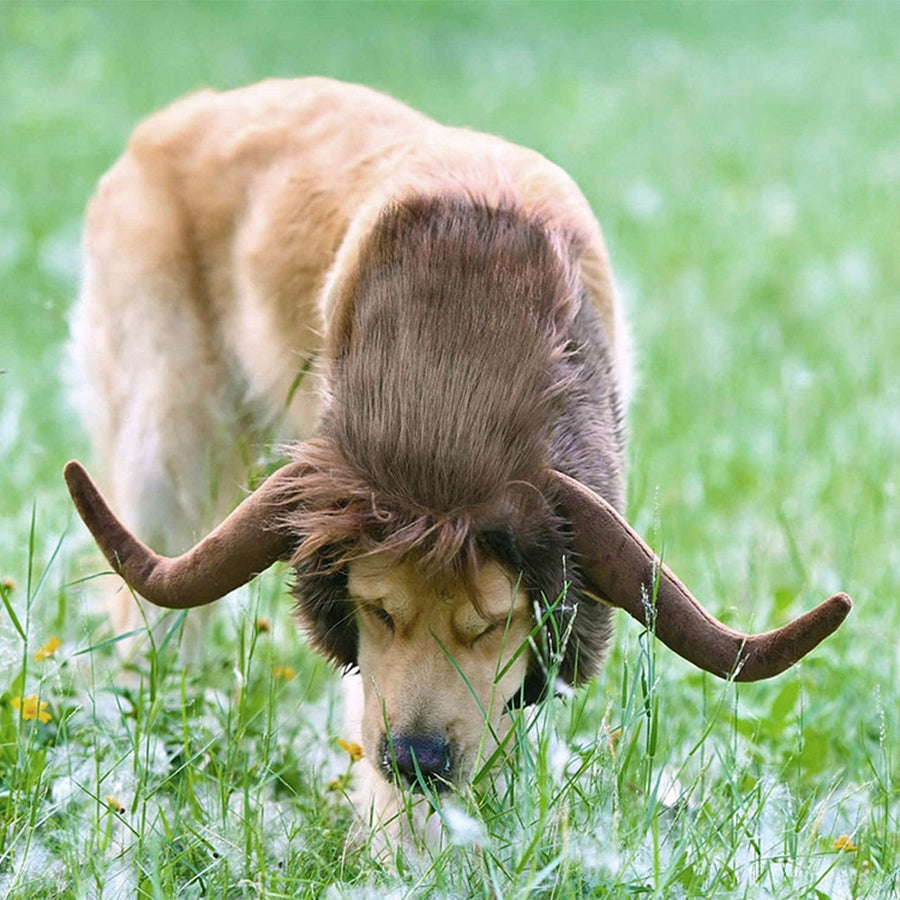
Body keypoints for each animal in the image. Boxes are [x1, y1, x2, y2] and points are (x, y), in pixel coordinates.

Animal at [63, 79, 852, 852]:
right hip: (167, 444)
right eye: (377, 609)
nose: (418, 761)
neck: (458, 365)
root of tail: (172, 123)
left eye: (492, 623)